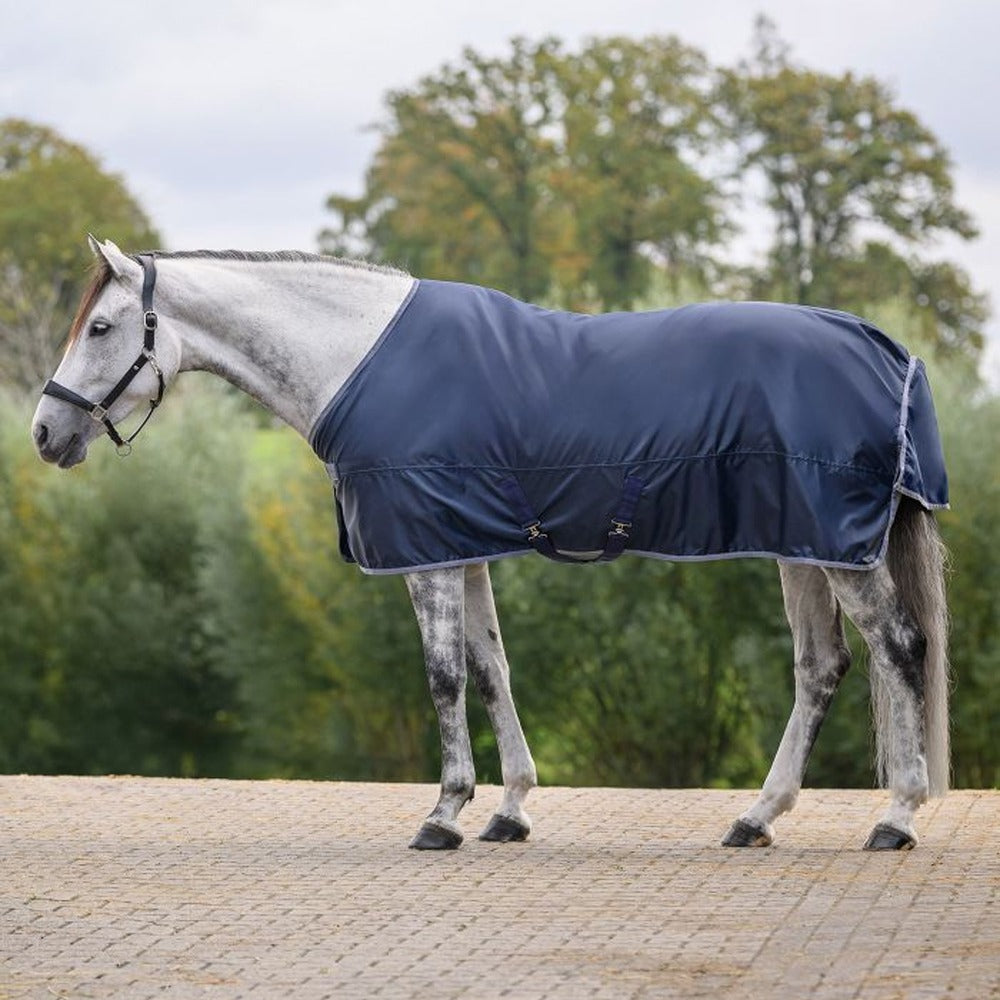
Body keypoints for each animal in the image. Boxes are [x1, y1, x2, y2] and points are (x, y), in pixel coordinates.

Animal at [32, 237, 950, 851]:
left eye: (103, 327)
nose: (44, 432)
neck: (355, 356)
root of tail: (891, 350)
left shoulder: (429, 553)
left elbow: (442, 675)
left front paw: (444, 813)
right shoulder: (460, 543)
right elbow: (490, 667)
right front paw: (509, 810)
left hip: (836, 547)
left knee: (899, 646)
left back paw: (896, 818)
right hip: (805, 545)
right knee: (822, 667)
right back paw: (756, 818)